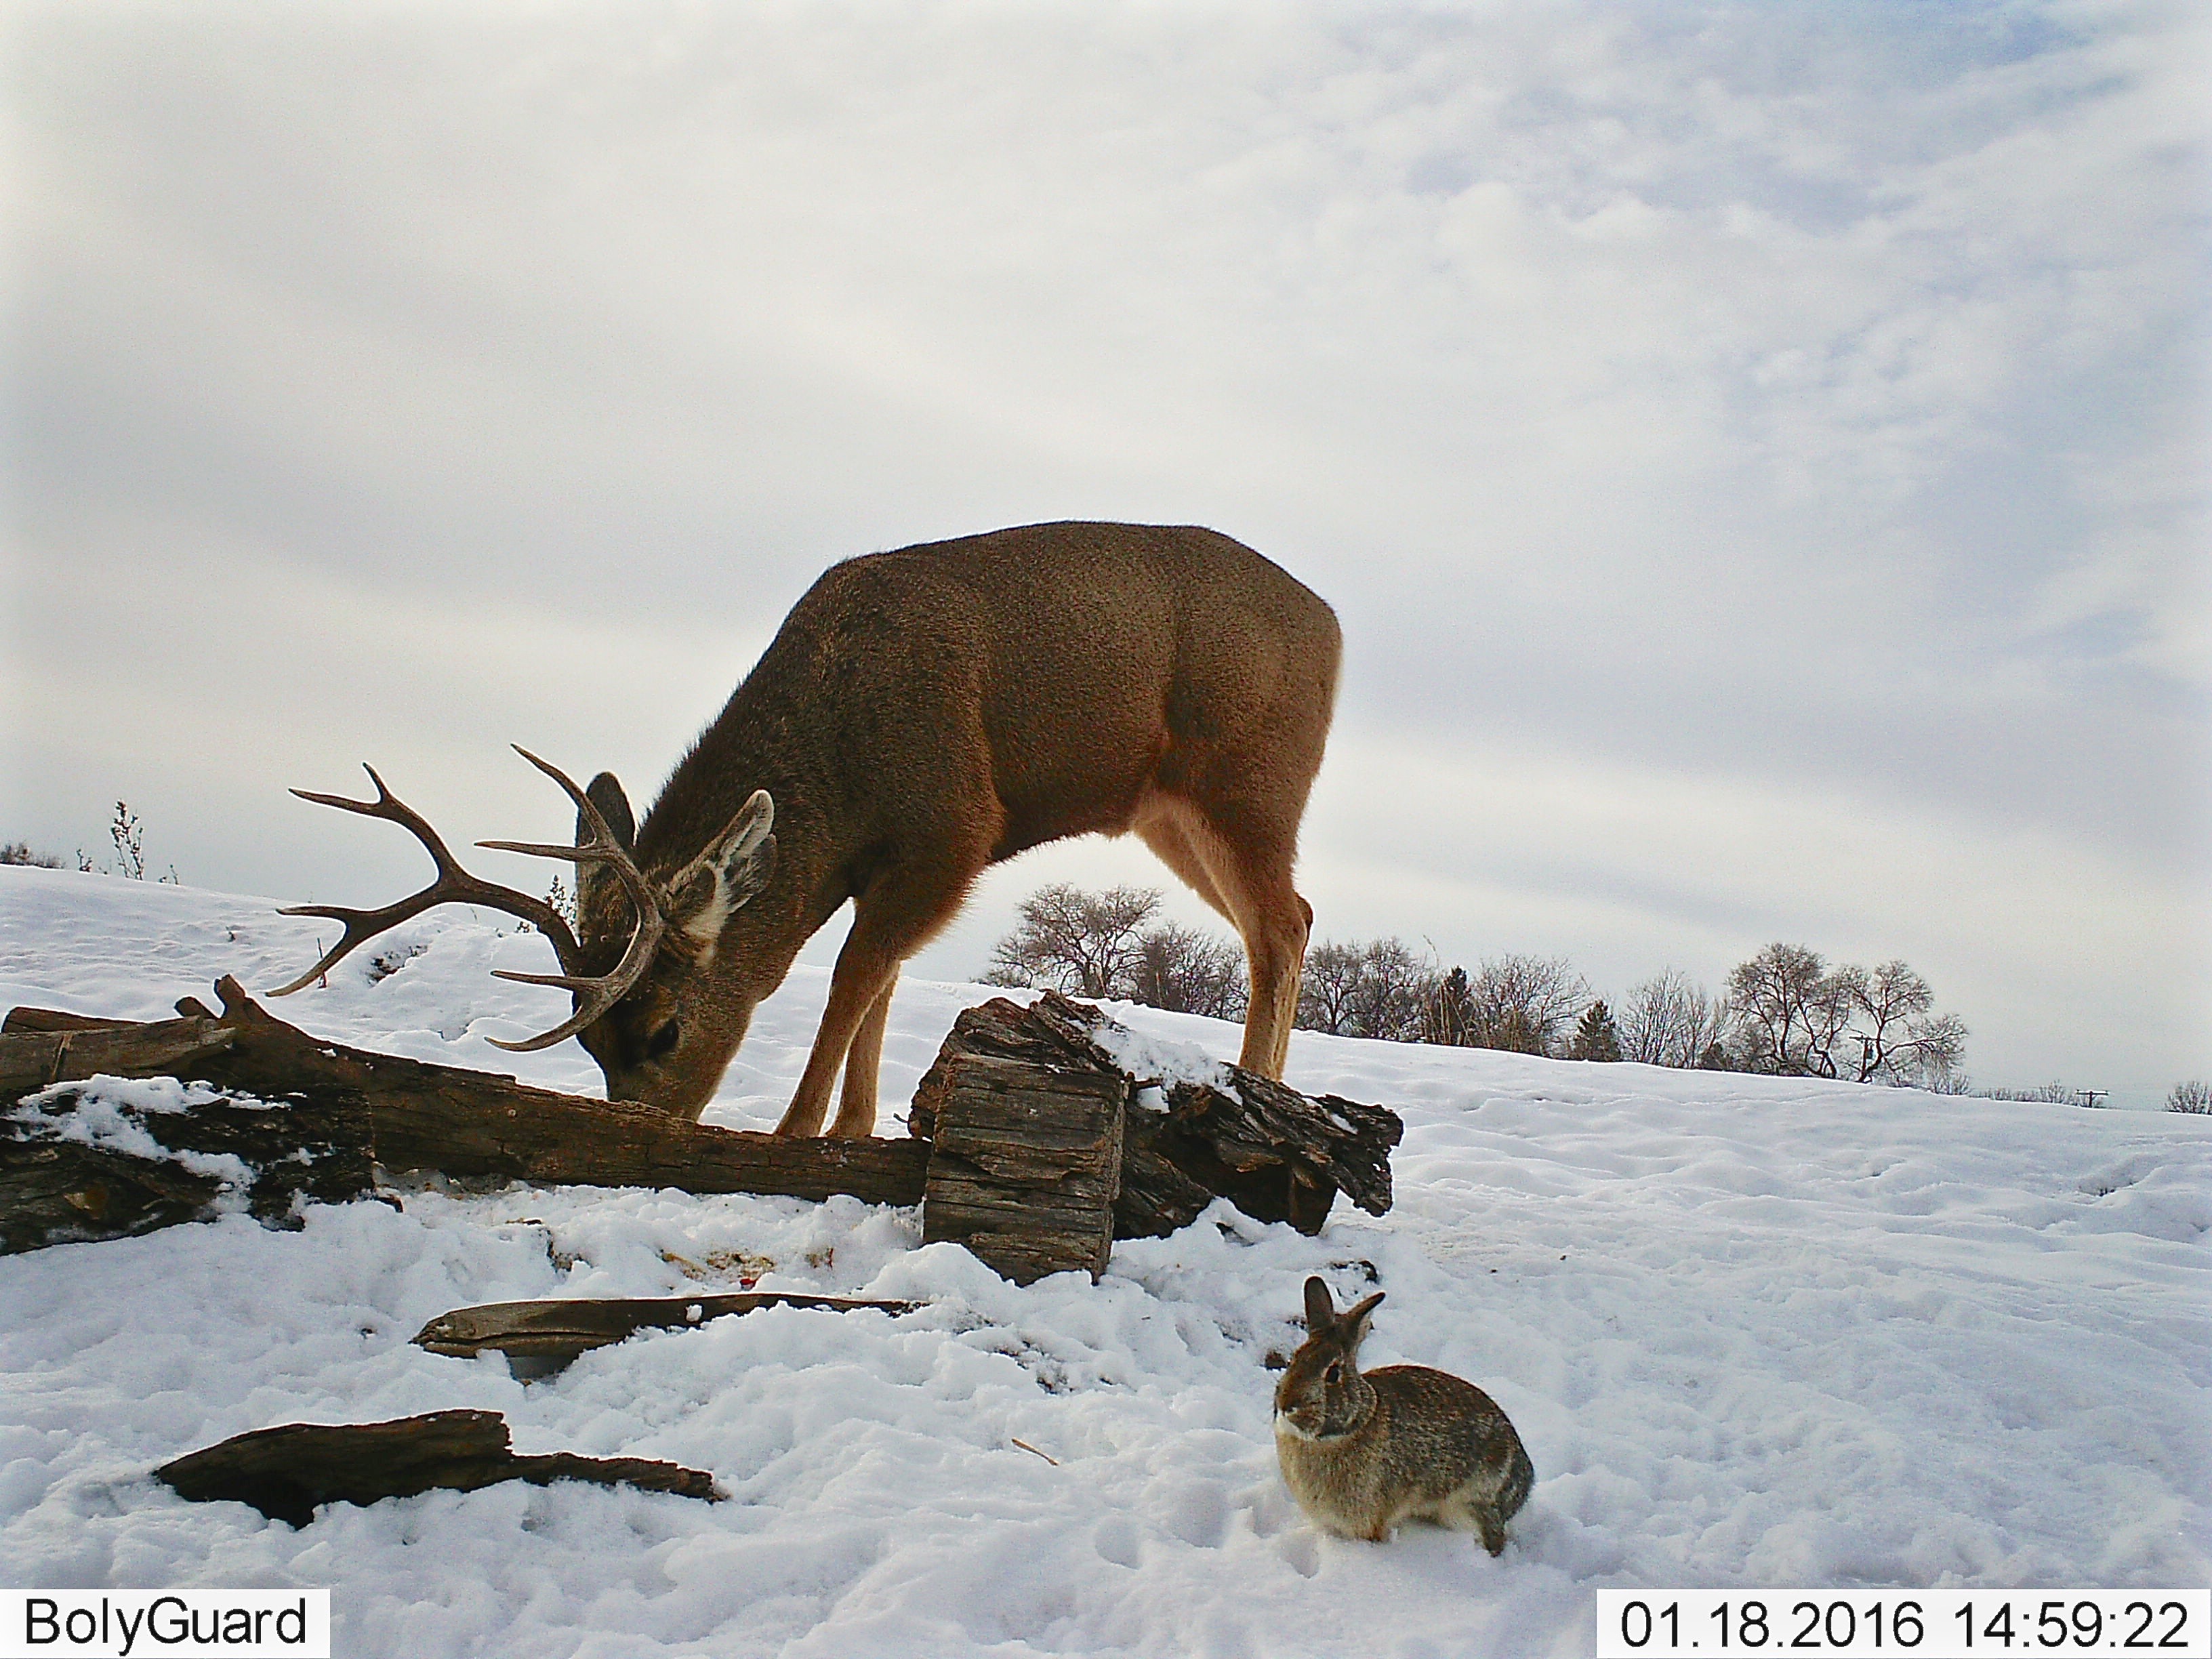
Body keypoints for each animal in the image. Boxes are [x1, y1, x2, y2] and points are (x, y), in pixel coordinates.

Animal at [276, 522, 1345, 1141]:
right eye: (593, 1047)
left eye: (663, 1030)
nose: (647, 1130)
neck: (842, 766)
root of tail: (1335, 625)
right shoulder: (897, 861)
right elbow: (884, 978)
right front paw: (854, 1127)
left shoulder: (955, 825)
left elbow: (849, 974)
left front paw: (798, 1131)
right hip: (1168, 813)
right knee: (1290, 916)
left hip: (1248, 779)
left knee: (1281, 922)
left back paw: (1260, 1093)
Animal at [1274, 1274, 1530, 1557]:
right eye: (1293, 1360)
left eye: (1333, 1374)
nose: (1287, 1405)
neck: (1348, 1428)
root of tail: (1525, 1481)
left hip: (1474, 1506)